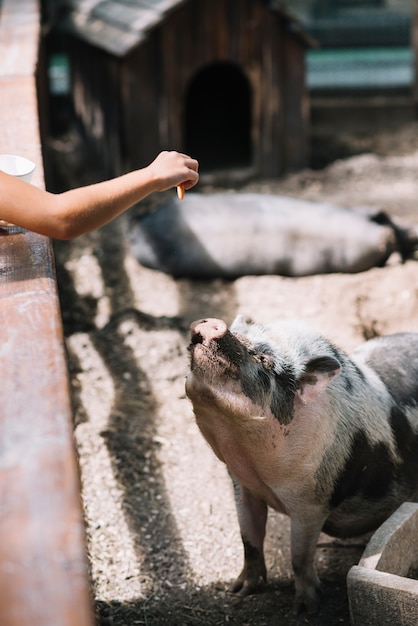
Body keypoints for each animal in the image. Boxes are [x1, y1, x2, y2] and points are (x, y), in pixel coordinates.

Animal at [186, 314, 418, 612]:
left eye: (265, 360)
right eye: (239, 334)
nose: (213, 323)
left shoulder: (313, 501)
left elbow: (298, 555)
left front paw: (306, 608)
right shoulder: (241, 484)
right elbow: (249, 539)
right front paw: (239, 591)